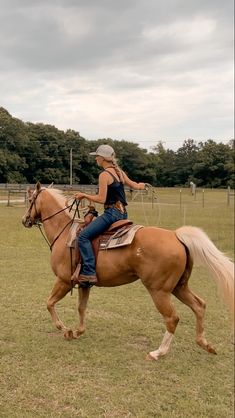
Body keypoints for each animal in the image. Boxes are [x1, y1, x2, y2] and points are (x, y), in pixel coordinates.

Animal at [21, 185, 233, 360]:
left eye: (30, 199)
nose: (24, 220)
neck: (64, 232)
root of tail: (175, 235)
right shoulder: (84, 284)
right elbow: (81, 308)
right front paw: (78, 331)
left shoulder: (64, 281)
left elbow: (49, 303)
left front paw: (64, 329)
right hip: (179, 287)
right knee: (199, 306)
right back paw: (205, 344)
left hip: (159, 291)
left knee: (172, 318)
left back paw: (158, 352)